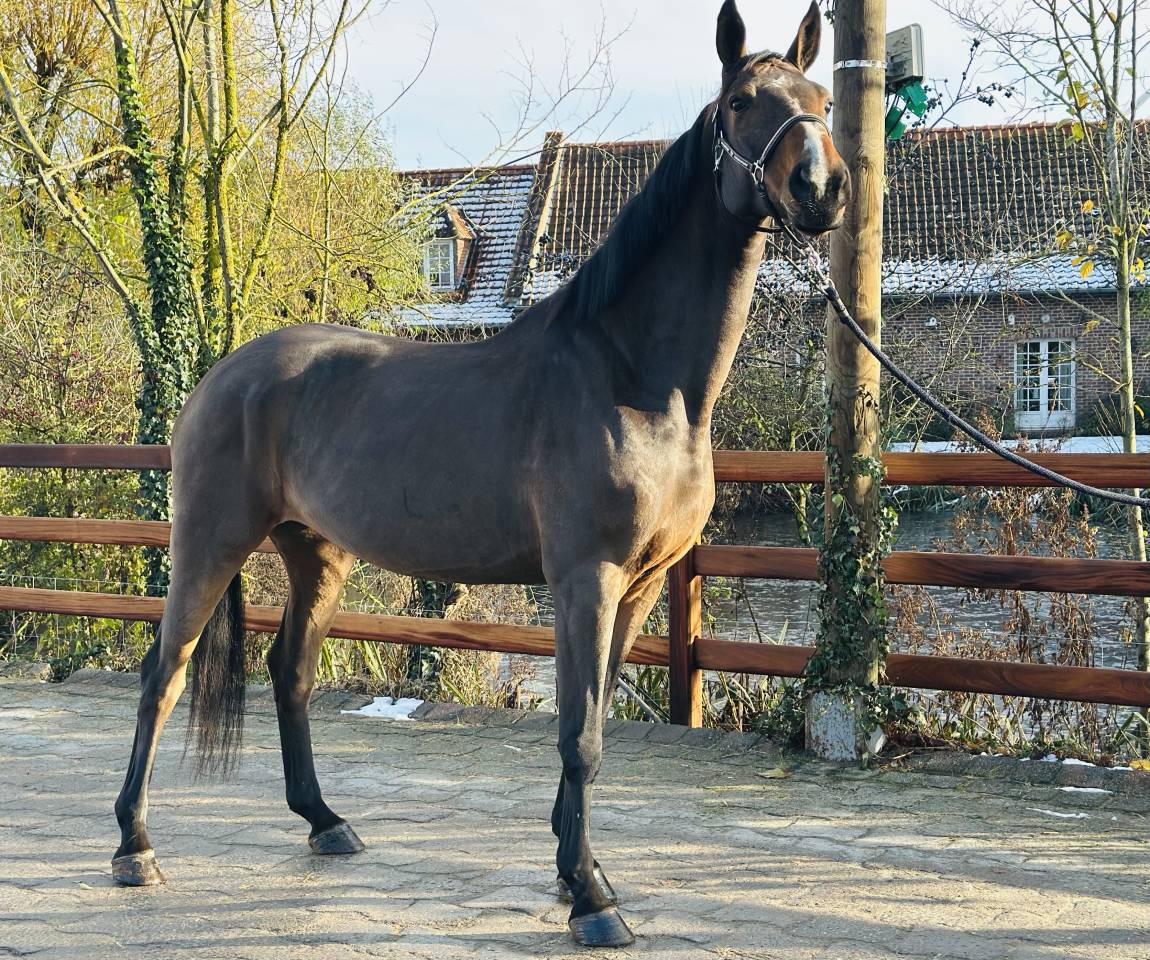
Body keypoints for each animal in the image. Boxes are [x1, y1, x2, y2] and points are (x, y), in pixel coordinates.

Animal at [111, 0, 848, 947]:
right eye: (746, 103)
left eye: (822, 102)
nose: (822, 190)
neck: (637, 379)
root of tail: (220, 377)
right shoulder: (584, 579)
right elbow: (578, 735)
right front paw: (591, 899)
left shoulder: (643, 584)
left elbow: (595, 724)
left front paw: (582, 871)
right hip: (209, 540)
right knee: (162, 672)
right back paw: (135, 845)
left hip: (317, 553)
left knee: (291, 672)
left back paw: (326, 822)